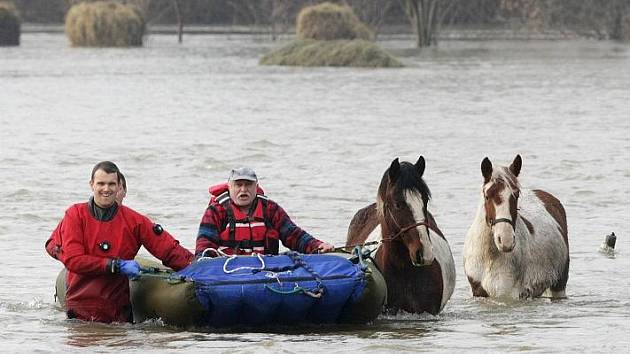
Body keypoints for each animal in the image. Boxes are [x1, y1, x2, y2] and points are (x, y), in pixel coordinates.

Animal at [464, 155, 572, 298]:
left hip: (559, 285)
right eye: (487, 196)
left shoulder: (512, 294)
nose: (506, 240)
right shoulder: (479, 293)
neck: (489, 257)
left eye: (516, 194)